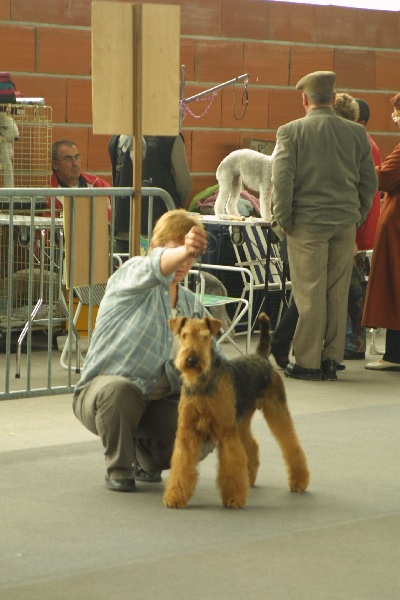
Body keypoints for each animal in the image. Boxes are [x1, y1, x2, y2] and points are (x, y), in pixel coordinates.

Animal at [163, 313, 310, 508]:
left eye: (205, 336)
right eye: (184, 335)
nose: (192, 360)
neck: (203, 383)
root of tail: (261, 356)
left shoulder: (226, 431)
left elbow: (231, 465)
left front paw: (233, 498)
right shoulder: (187, 432)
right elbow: (182, 465)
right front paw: (175, 496)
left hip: (275, 410)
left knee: (290, 443)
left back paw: (299, 481)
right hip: (242, 419)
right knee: (252, 446)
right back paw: (249, 478)